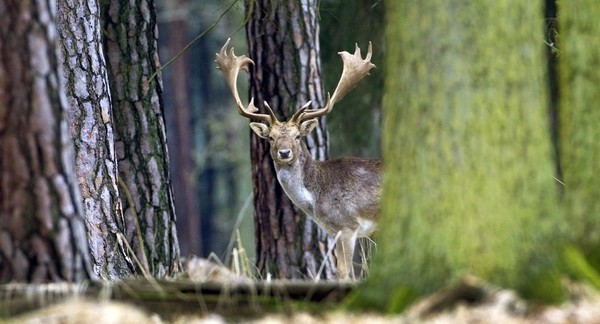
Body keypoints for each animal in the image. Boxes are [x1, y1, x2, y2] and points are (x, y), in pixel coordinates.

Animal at [216, 38, 380, 280]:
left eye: (298, 136)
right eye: (271, 137)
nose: (285, 153)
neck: (316, 199)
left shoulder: (348, 225)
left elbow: (346, 272)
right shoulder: (335, 231)